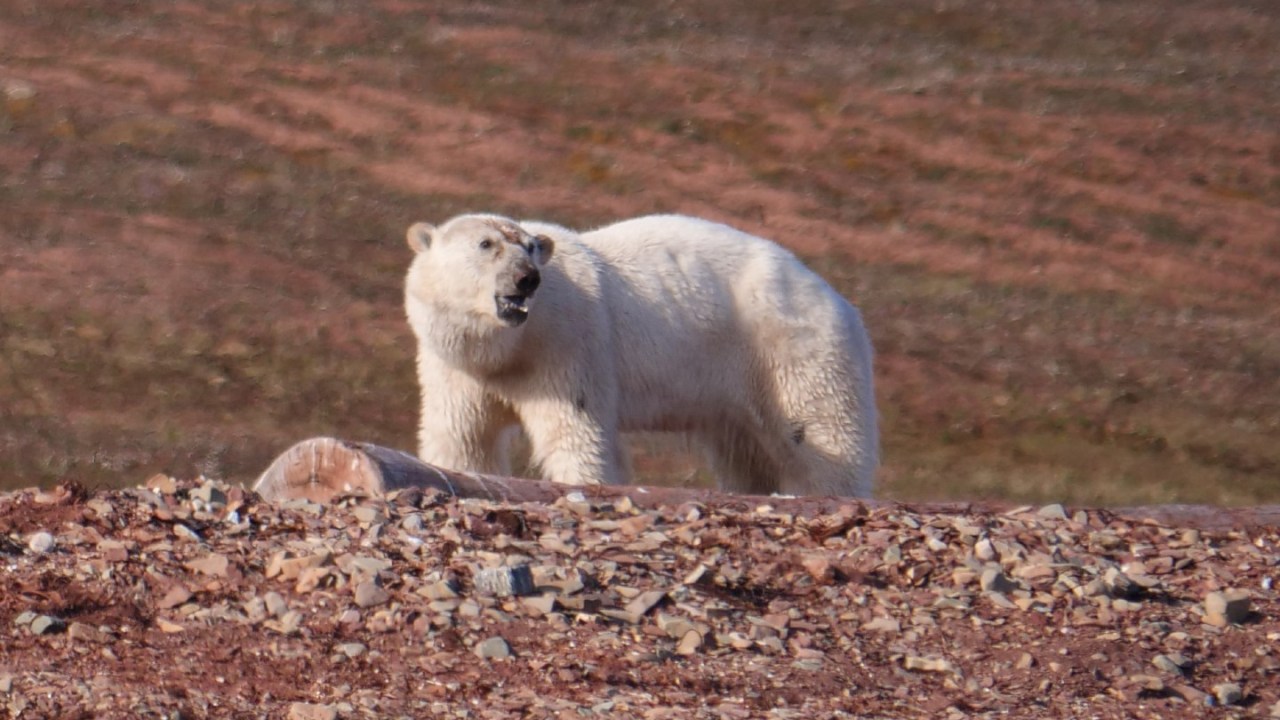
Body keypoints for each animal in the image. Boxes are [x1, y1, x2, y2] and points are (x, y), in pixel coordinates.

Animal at [401, 210, 880, 497]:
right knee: (749, 453)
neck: (506, 347)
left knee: (819, 436)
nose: (527, 278)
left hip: (793, 350)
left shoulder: (568, 345)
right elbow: (462, 436)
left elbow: (576, 431)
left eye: (531, 246)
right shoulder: (454, 368)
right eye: (486, 244)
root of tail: (835, 297)